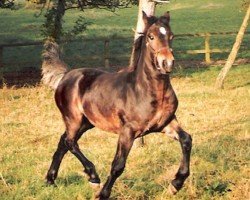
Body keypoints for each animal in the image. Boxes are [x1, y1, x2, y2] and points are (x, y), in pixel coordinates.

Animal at [42, 11, 192, 199]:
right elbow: (118, 164)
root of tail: (66, 75)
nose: (167, 63)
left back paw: (50, 180)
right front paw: (103, 194)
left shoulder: (167, 123)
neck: (145, 90)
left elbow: (187, 139)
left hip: (86, 123)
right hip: (73, 119)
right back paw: (93, 177)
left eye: (171, 36)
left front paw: (175, 184)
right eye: (151, 36)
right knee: (70, 142)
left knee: (63, 142)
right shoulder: (128, 131)